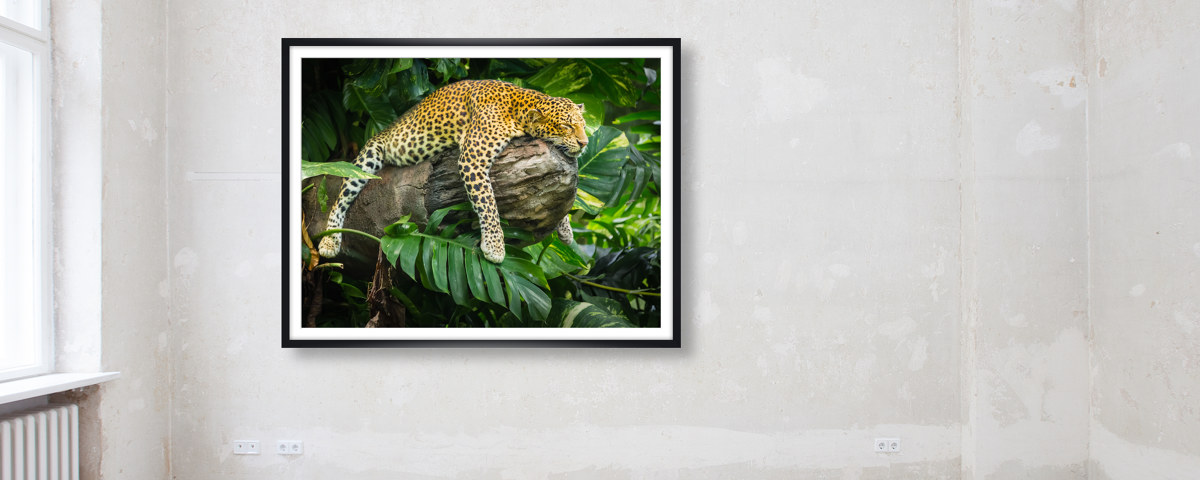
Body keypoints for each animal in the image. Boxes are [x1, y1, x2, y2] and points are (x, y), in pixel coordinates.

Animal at [317, 79, 588, 264]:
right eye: (566, 126)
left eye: (583, 125)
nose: (585, 143)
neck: (518, 107)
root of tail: (384, 130)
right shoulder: (472, 159)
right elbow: (488, 204)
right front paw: (494, 246)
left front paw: (565, 229)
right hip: (367, 157)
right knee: (341, 198)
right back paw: (330, 240)